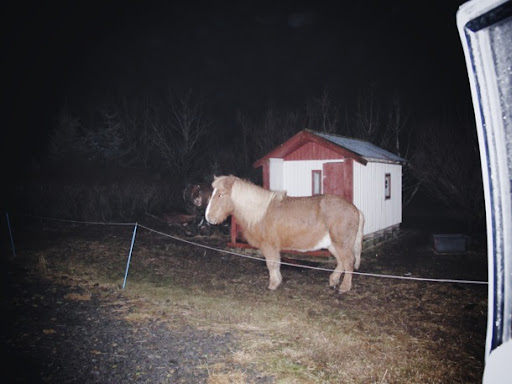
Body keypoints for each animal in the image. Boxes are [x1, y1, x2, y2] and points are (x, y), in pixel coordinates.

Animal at [204, 176, 364, 292]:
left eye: (221, 194)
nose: (208, 217)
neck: (260, 212)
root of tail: (355, 209)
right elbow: (275, 264)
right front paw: (277, 280)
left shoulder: (269, 246)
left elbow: (271, 264)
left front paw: (273, 283)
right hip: (332, 244)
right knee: (341, 261)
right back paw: (333, 280)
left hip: (341, 244)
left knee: (349, 262)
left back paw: (344, 287)